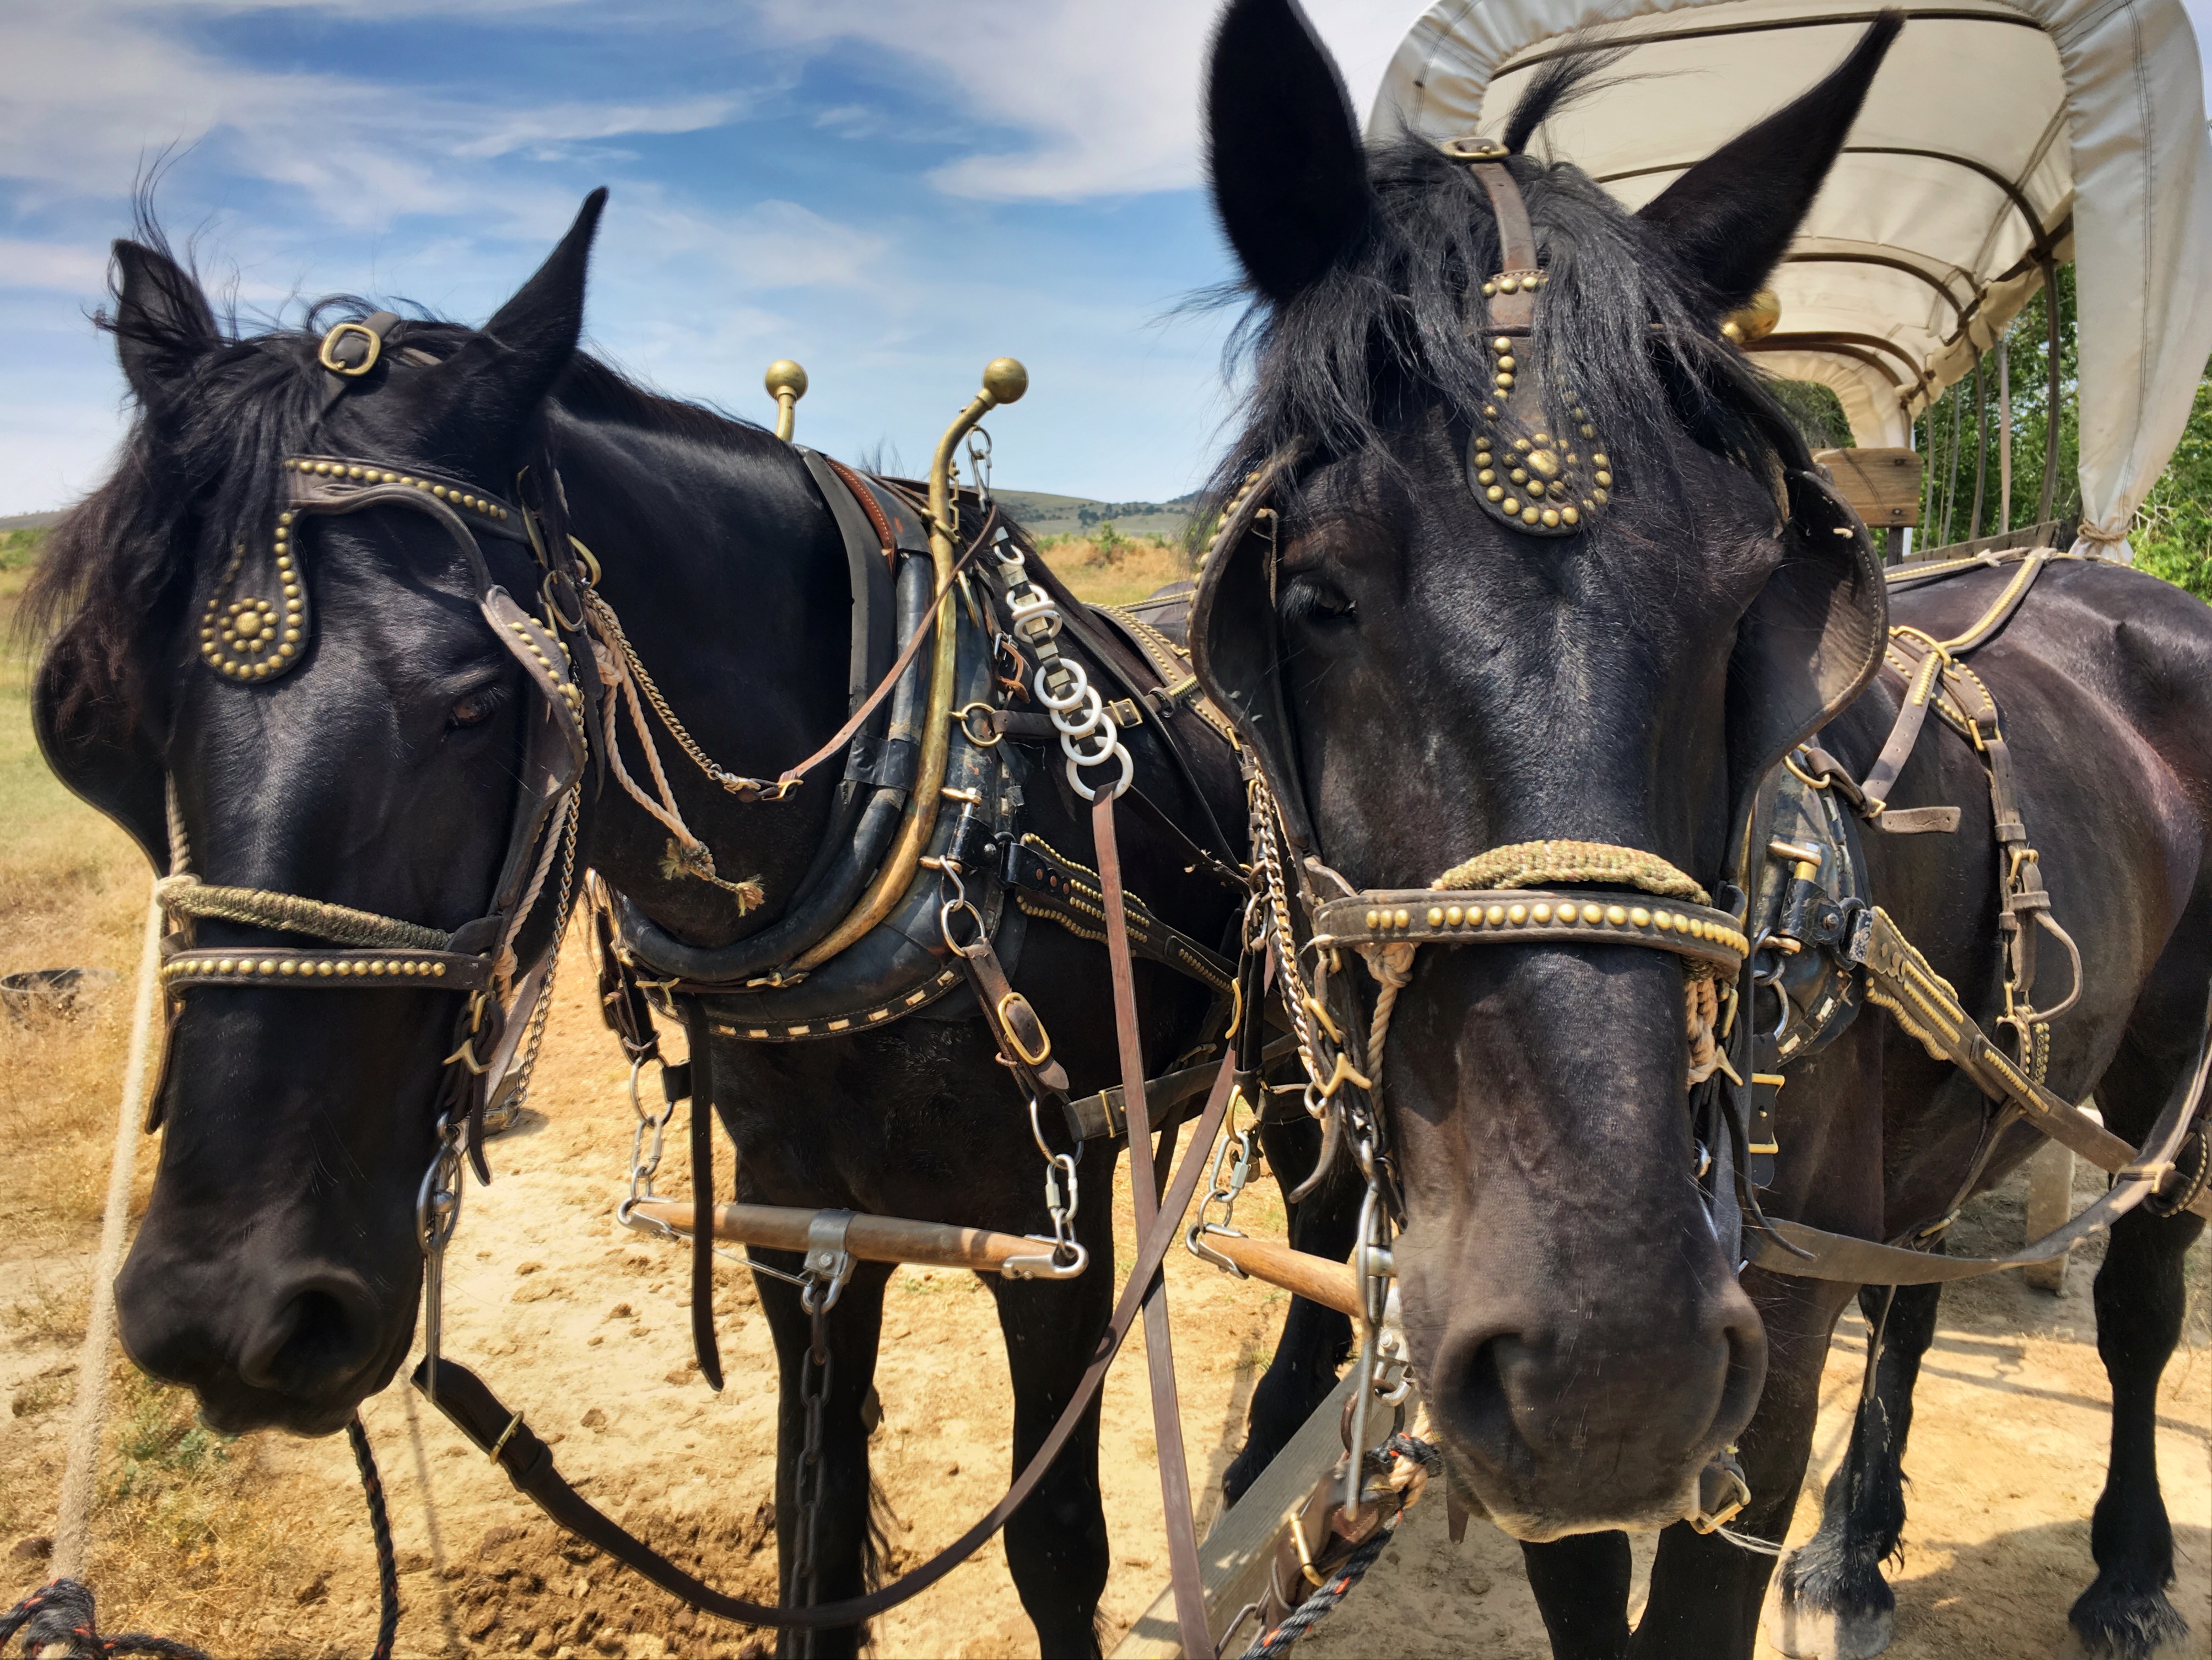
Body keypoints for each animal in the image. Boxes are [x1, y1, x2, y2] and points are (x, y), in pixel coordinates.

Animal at [17, 198, 1301, 1660]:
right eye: (97, 728)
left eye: (476, 702)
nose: (224, 1311)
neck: (913, 819)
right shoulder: (801, 1227)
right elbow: (814, 1533)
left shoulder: (1052, 1230)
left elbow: (1052, 1547)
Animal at [1194, 6, 2212, 1655]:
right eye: (1309, 595)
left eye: (1754, 599)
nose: (1613, 1358)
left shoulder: (1763, 1347)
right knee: (1914, 1288)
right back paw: (1858, 1542)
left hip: (2163, 1071)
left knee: (2135, 1296)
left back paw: (2122, 1567)